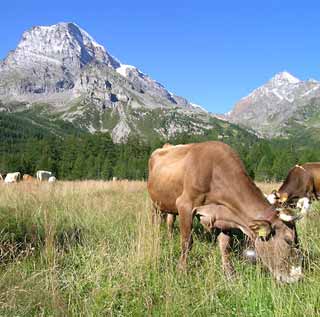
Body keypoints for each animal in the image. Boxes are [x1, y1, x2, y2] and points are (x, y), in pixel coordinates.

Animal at [148, 141, 302, 282]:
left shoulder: (224, 216)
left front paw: (230, 275)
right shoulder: (185, 205)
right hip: (154, 203)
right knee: (156, 222)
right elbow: (187, 243)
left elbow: (225, 247)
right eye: (288, 240)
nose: (297, 277)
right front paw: (182, 271)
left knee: (170, 220)